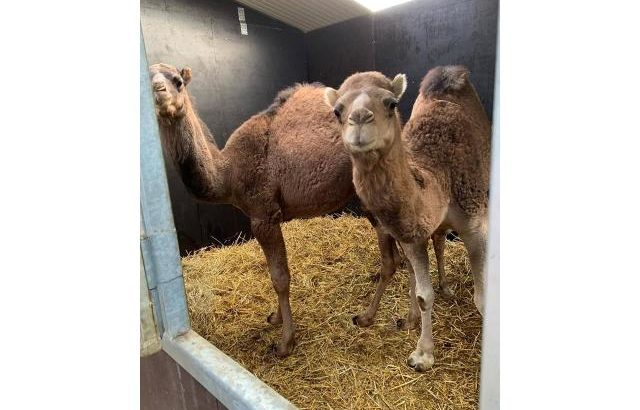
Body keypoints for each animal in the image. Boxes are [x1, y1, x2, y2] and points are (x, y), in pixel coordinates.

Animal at [148, 63, 452, 356]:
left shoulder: (263, 216)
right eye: (146, 77)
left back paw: (382, 318)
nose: (157, 91)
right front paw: (275, 318)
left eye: (178, 81)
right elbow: (275, 274)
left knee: (398, 258)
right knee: (399, 258)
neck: (228, 172)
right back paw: (398, 318)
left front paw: (285, 342)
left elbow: (279, 278)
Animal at [324, 65, 490, 372]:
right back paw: (427, 303)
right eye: (337, 111)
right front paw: (423, 354)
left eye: (391, 104)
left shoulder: (475, 225)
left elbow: (482, 298)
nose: (359, 119)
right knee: (437, 241)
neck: (439, 173)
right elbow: (425, 295)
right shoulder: (412, 235)